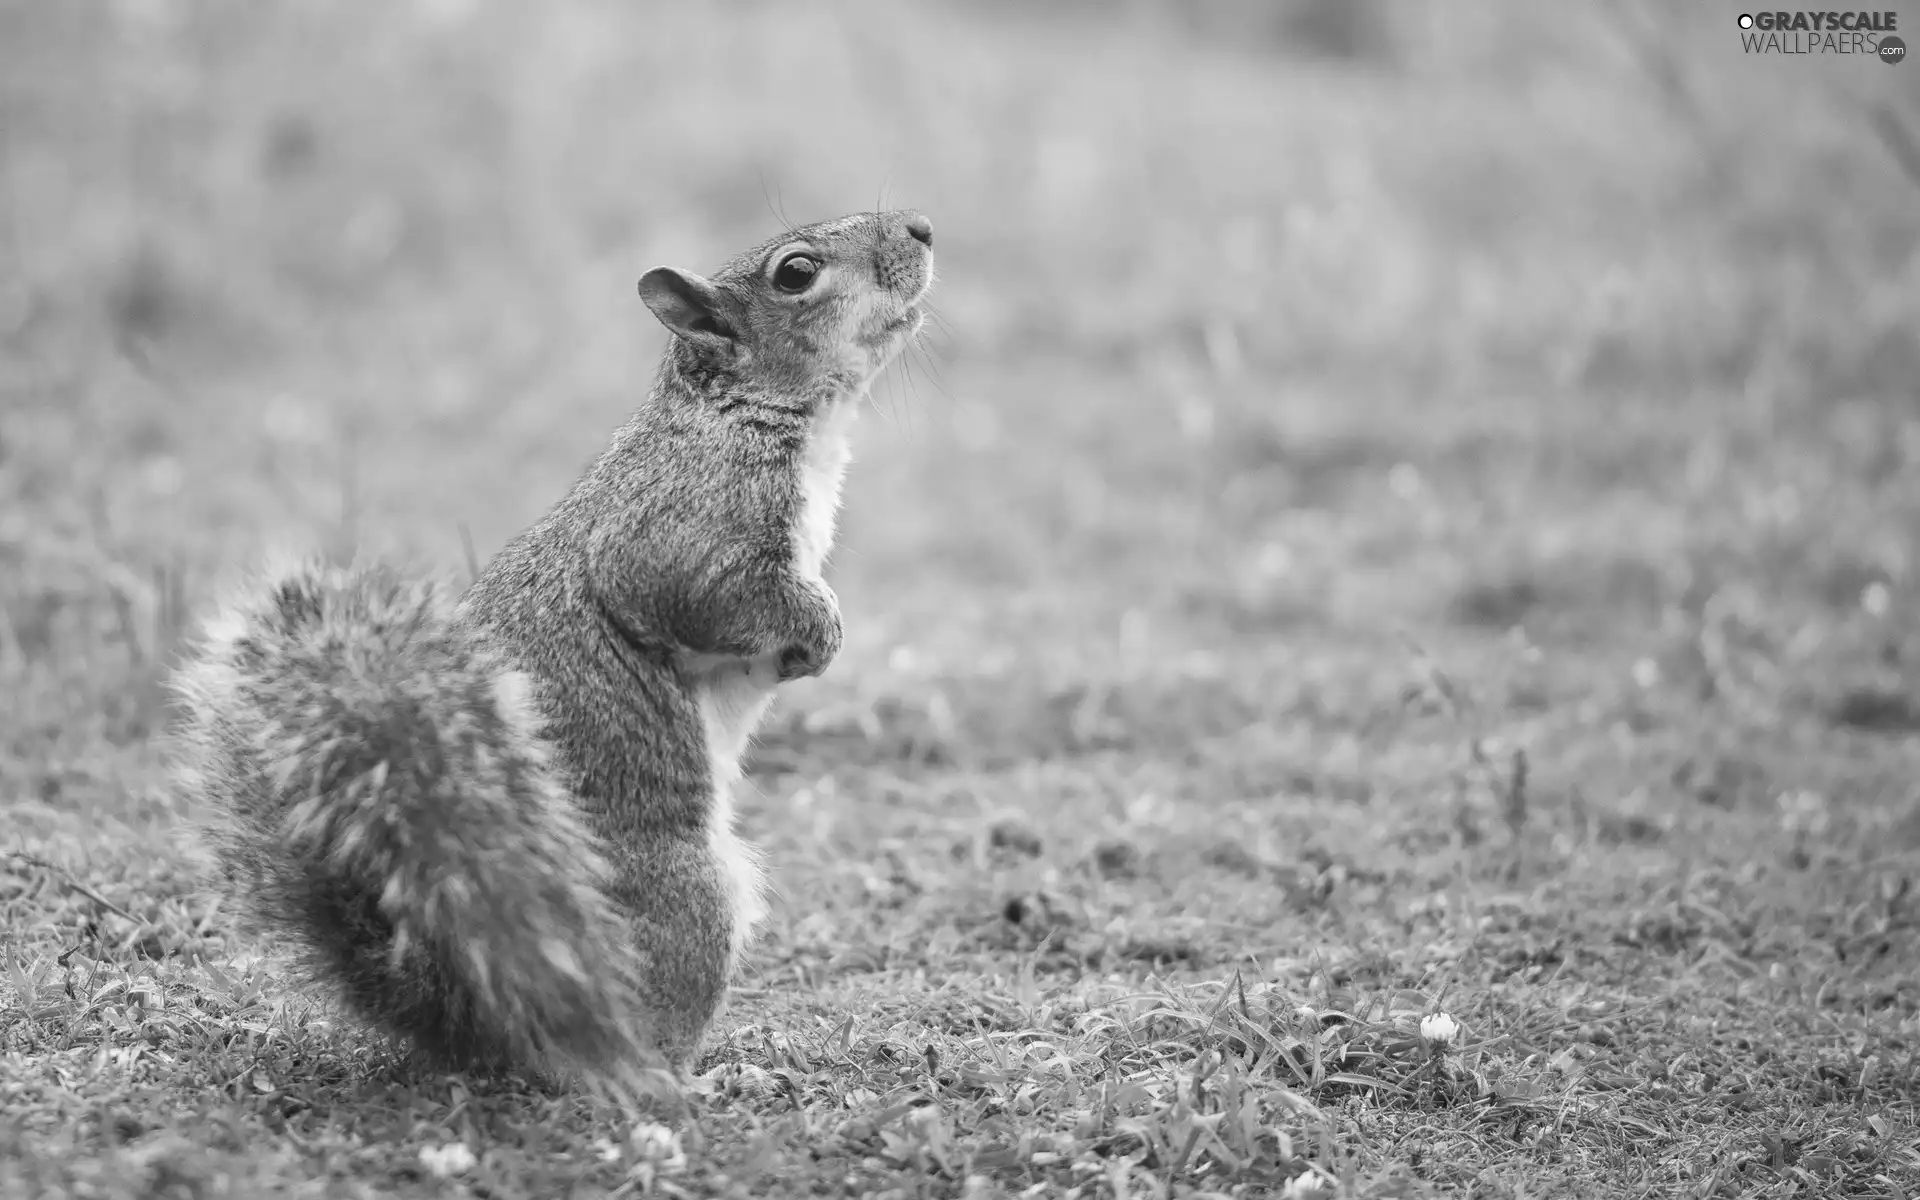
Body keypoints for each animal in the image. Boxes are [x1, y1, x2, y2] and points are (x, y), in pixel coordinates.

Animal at [172, 208, 936, 1098]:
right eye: (796, 273)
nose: (921, 226)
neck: (749, 413)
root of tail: (475, 1009)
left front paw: (814, 648)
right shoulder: (686, 529)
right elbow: (710, 598)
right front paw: (820, 628)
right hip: (684, 897)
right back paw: (688, 1078)